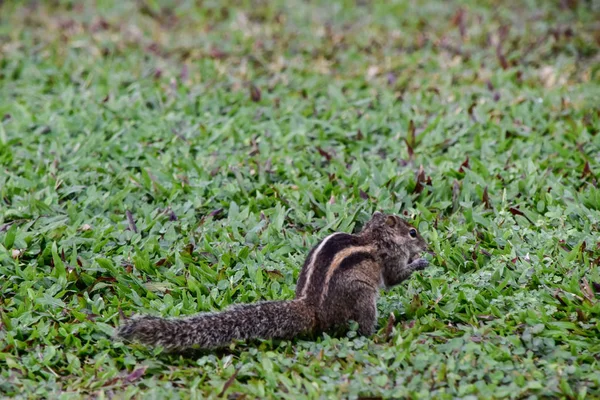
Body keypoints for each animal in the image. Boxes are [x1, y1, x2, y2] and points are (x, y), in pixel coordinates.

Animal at [115, 211, 428, 352]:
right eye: (412, 232)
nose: (425, 245)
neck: (374, 238)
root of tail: (311, 309)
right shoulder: (389, 260)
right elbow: (395, 277)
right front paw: (420, 262)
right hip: (362, 298)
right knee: (361, 326)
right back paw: (378, 333)